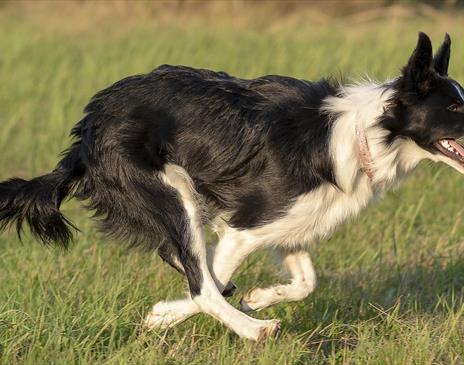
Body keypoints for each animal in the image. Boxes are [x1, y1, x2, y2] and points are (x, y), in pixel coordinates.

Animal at [0, 32, 464, 342]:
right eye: (455, 107)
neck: (366, 134)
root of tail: (87, 131)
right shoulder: (247, 226)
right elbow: (208, 283)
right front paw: (164, 315)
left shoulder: (289, 223)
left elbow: (306, 281)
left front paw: (258, 297)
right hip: (172, 192)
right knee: (201, 280)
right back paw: (255, 330)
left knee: (186, 261)